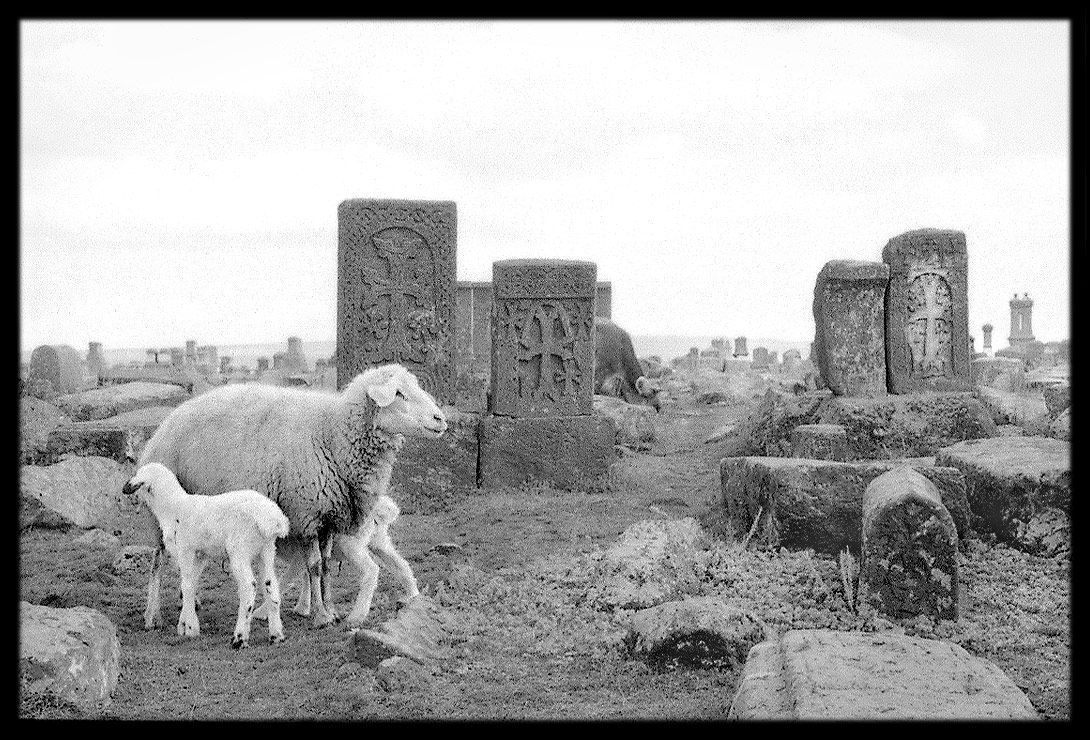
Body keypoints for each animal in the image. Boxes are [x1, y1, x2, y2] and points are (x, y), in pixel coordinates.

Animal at [122, 462, 289, 649]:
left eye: (138, 474)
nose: (125, 487)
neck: (173, 507)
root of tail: (272, 518)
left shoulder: (185, 550)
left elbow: (186, 586)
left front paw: (190, 628)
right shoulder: (200, 555)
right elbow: (191, 585)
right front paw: (185, 624)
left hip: (239, 550)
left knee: (249, 587)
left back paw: (239, 639)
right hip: (266, 551)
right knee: (271, 586)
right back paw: (276, 635)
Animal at [252, 494, 418, 627]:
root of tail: (380, 508)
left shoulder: (300, 554)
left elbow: (285, 580)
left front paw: (260, 613)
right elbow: (308, 577)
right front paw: (303, 608)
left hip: (351, 543)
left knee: (371, 570)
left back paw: (356, 616)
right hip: (378, 541)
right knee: (400, 564)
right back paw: (413, 597)